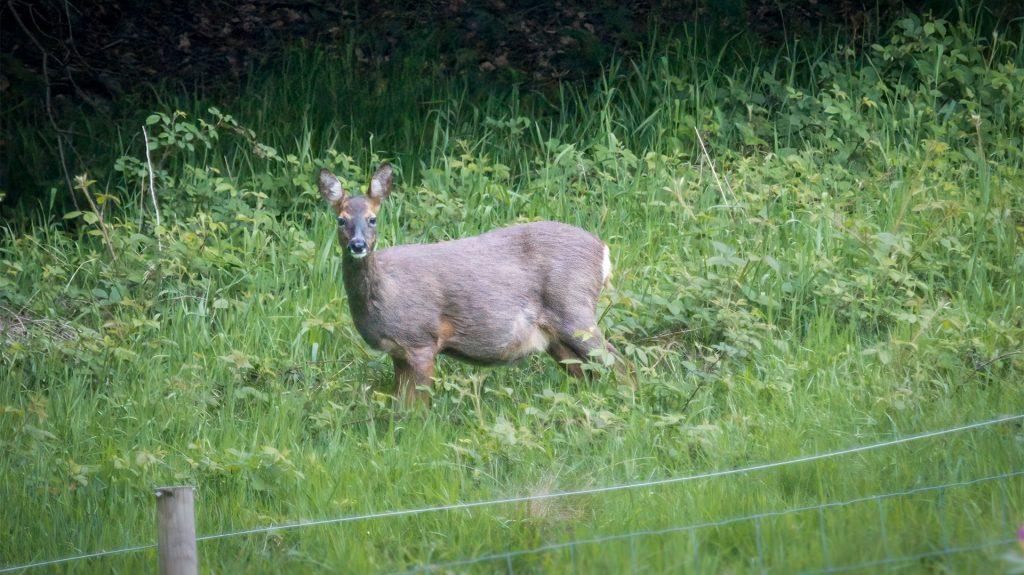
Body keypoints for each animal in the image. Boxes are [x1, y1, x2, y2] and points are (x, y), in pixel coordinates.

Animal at [318, 163, 618, 407]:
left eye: (372, 218)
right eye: (341, 219)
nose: (358, 245)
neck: (387, 291)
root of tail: (603, 249)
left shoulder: (421, 340)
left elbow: (416, 410)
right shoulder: (399, 352)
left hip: (574, 308)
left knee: (617, 362)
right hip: (555, 336)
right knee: (590, 373)